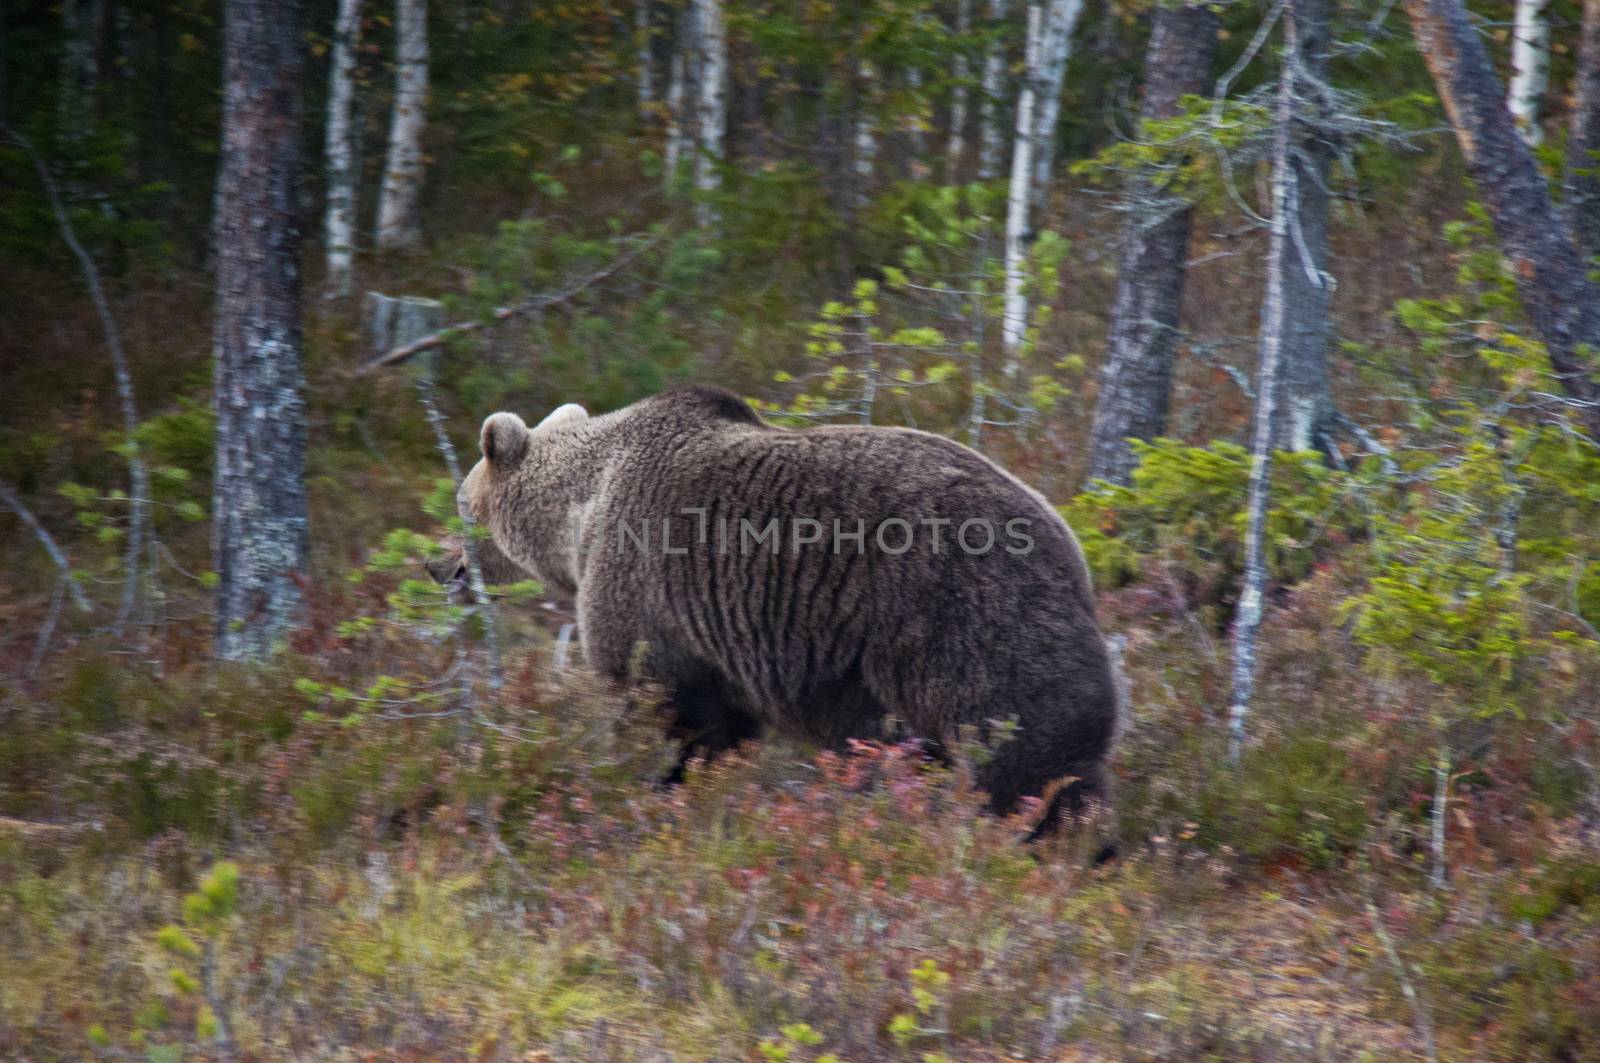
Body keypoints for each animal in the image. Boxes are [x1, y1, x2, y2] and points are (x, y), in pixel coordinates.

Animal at [454, 385, 1126, 832]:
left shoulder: (643, 586)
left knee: (1019, 753)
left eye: (462, 505)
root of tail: (1070, 547)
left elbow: (670, 707)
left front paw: (657, 781)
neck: (581, 512)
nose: (442, 564)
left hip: (966, 621)